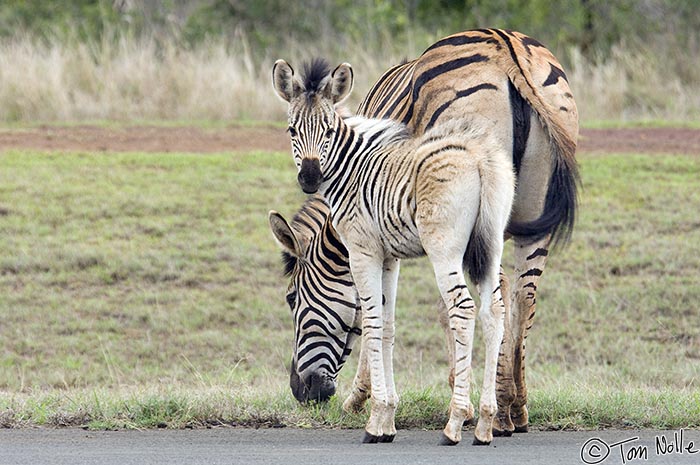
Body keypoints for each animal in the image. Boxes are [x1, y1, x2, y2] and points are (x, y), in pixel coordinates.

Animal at [270, 28, 576, 436]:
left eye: (291, 299)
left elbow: (377, 315)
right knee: (523, 296)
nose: (302, 392)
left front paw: (362, 399)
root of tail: (503, 44)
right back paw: (514, 406)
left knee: (480, 297)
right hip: (528, 219)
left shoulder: (381, 236)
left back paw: (484, 410)